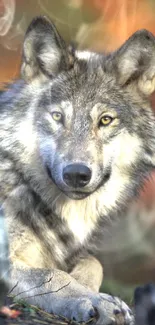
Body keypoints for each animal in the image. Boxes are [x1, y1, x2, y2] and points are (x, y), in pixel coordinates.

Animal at [0, 15, 155, 324]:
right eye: (58, 116)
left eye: (105, 120)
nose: (76, 174)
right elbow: (52, 275)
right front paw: (100, 303)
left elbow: (93, 263)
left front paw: (97, 295)